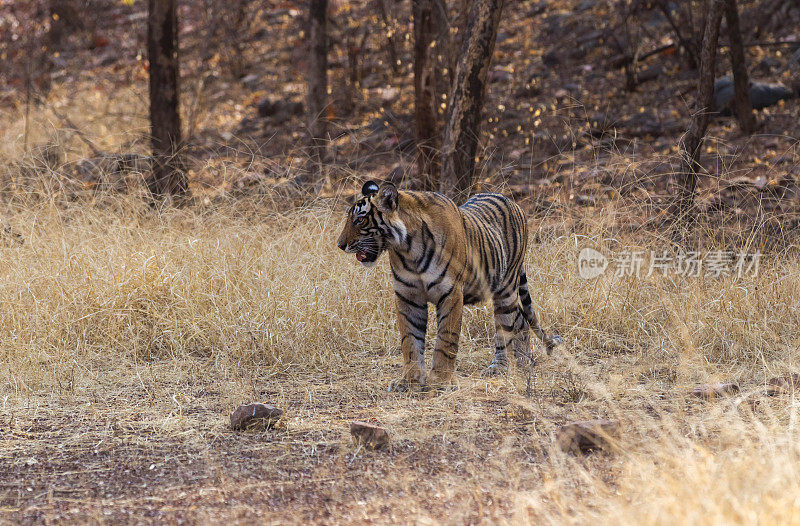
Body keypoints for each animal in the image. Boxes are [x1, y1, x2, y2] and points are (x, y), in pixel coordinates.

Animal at [338, 182, 564, 392]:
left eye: (360, 220)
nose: (340, 245)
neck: (407, 249)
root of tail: (513, 202)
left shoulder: (451, 293)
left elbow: (446, 339)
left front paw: (441, 381)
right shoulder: (407, 296)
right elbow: (410, 340)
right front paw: (410, 381)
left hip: (506, 290)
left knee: (511, 326)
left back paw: (513, 365)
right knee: (515, 323)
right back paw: (511, 364)